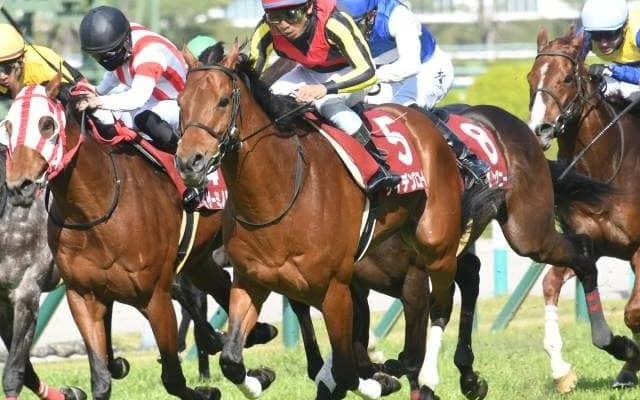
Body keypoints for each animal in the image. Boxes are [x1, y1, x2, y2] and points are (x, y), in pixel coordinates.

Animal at [1, 77, 277, 400]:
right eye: (7, 126)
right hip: (198, 258)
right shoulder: (81, 296)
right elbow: (100, 380)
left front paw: (210, 390)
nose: (20, 186)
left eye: (46, 124)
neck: (97, 205)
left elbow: (173, 378)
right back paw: (255, 341)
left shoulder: (153, 296)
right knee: (218, 284)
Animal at [527, 26, 640, 392]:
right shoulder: (587, 242)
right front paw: (562, 370)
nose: (540, 130)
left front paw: (627, 352)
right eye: (531, 77)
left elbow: (633, 312)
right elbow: (550, 285)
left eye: (565, 78)